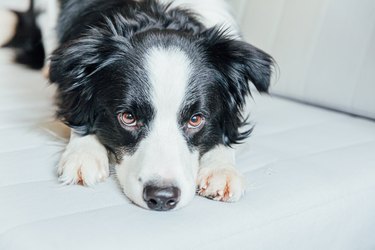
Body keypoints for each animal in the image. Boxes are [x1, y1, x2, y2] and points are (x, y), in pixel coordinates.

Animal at [1, 0, 274, 211]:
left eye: (195, 119)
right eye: (128, 117)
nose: (162, 198)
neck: (156, 15)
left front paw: (222, 169)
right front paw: (84, 154)